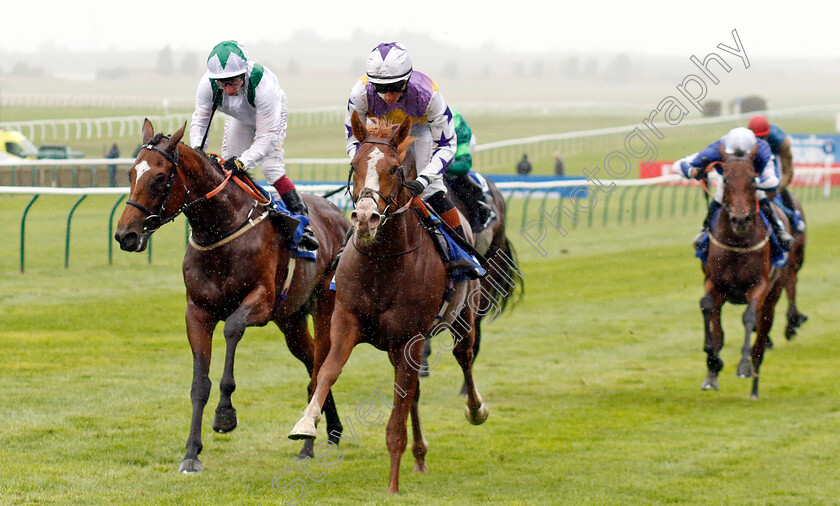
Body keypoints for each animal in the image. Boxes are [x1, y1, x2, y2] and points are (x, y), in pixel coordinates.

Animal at [112, 117, 348, 470]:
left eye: (159, 177)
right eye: (130, 173)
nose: (125, 235)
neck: (221, 229)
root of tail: (341, 215)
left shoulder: (261, 302)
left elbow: (233, 330)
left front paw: (225, 415)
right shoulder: (197, 312)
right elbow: (199, 384)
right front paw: (191, 453)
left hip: (324, 306)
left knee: (320, 365)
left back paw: (307, 445)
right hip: (290, 319)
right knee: (310, 361)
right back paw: (330, 429)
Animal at [288, 111, 488, 494]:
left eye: (395, 169)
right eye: (354, 165)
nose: (366, 218)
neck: (383, 261)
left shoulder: (411, 337)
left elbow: (398, 411)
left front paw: (393, 485)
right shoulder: (346, 321)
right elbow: (329, 371)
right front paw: (305, 422)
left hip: (461, 317)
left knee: (464, 356)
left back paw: (475, 409)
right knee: (414, 392)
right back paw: (420, 456)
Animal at [700, 143, 796, 400]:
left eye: (753, 180)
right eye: (726, 180)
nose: (740, 220)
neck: (738, 243)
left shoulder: (758, 287)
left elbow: (749, 317)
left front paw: (742, 366)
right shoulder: (714, 283)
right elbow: (708, 310)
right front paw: (713, 365)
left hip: (774, 294)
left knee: (760, 340)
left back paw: (754, 385)